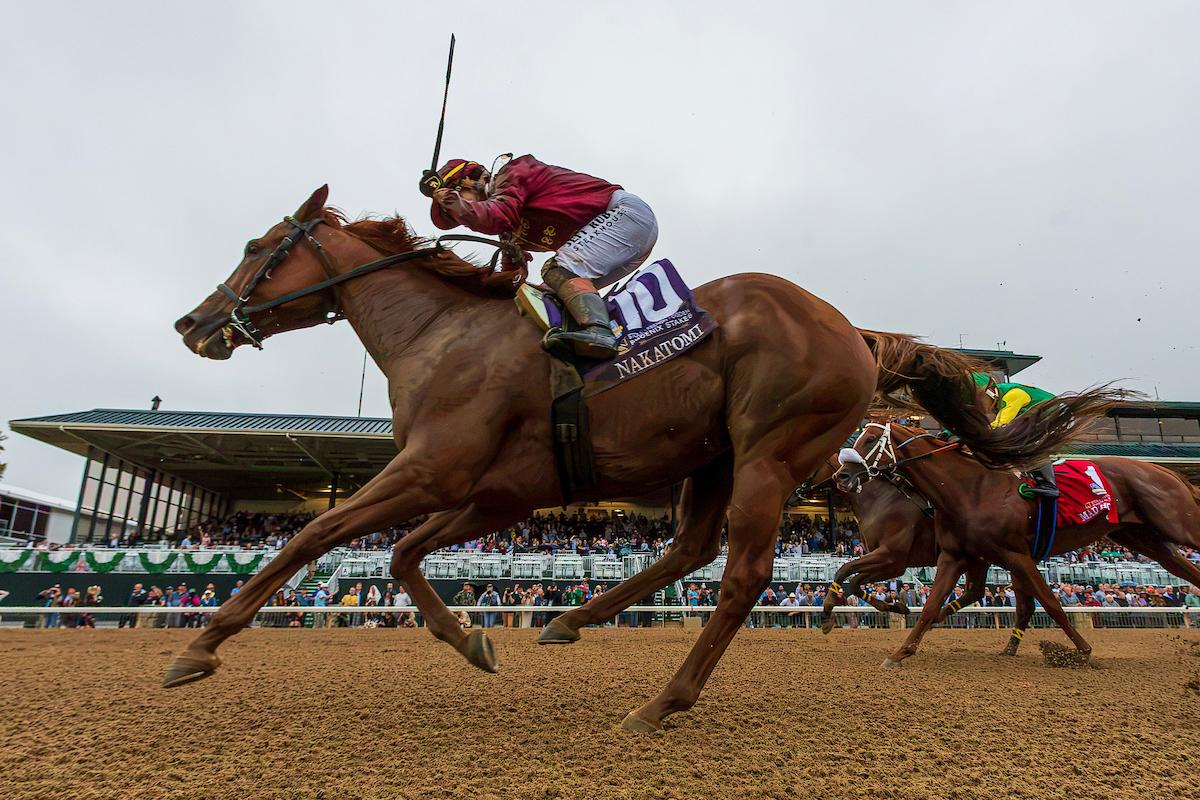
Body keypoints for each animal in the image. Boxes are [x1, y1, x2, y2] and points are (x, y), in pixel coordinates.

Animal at [166, 185, 1108, 730]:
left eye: (257, 246)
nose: (192, 323)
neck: (443, 334)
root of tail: (858, 333)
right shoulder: (496, 494)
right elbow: (399, 556)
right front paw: (473, 640)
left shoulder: (433, 472)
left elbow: (309, 540)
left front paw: (200, 647)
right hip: (713, 456)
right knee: (688, 549)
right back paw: (572, 620)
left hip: (769, 451)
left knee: (742, 574)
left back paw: (663, 701)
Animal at [835, 420, 1200, 667]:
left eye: (870, 438)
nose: (842, 476)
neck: (970, 489)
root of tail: (1169, 473)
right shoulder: (955, 556)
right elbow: (926, 607)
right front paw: (899, 651)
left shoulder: (1013, 554)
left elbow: (1051, 603)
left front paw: (1082, 651)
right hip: (1144, 538)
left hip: (1178, 526)